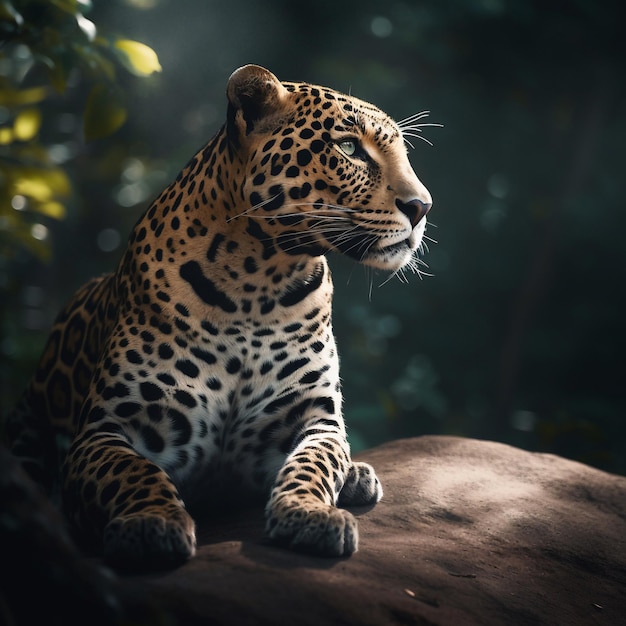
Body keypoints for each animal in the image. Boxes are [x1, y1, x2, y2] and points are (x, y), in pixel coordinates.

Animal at [4, 64, 432, 572]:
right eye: (348, 148)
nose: (422, 207)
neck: (257, 284)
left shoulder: (314, 418)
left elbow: (315, 463)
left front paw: (309, 513)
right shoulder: (104, 430)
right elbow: (132, 471)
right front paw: (152, 523)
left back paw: (357, 476)